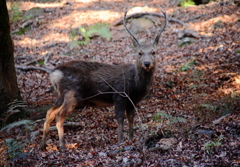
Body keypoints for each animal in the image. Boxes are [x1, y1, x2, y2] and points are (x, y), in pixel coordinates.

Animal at [39, 8, 167, 150]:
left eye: (154, 52)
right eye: (139, 53)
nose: (147, 63)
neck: (135, 84)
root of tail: (54, 73)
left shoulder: (132, 100)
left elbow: (131, 118)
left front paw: (131, 139)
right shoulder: (119, 95)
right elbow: (120, 119)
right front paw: (120, 142)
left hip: (61, 94)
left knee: (49, 112)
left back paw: (43, 144)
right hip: (72, 92)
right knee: (59, 115)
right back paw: (62, 145)